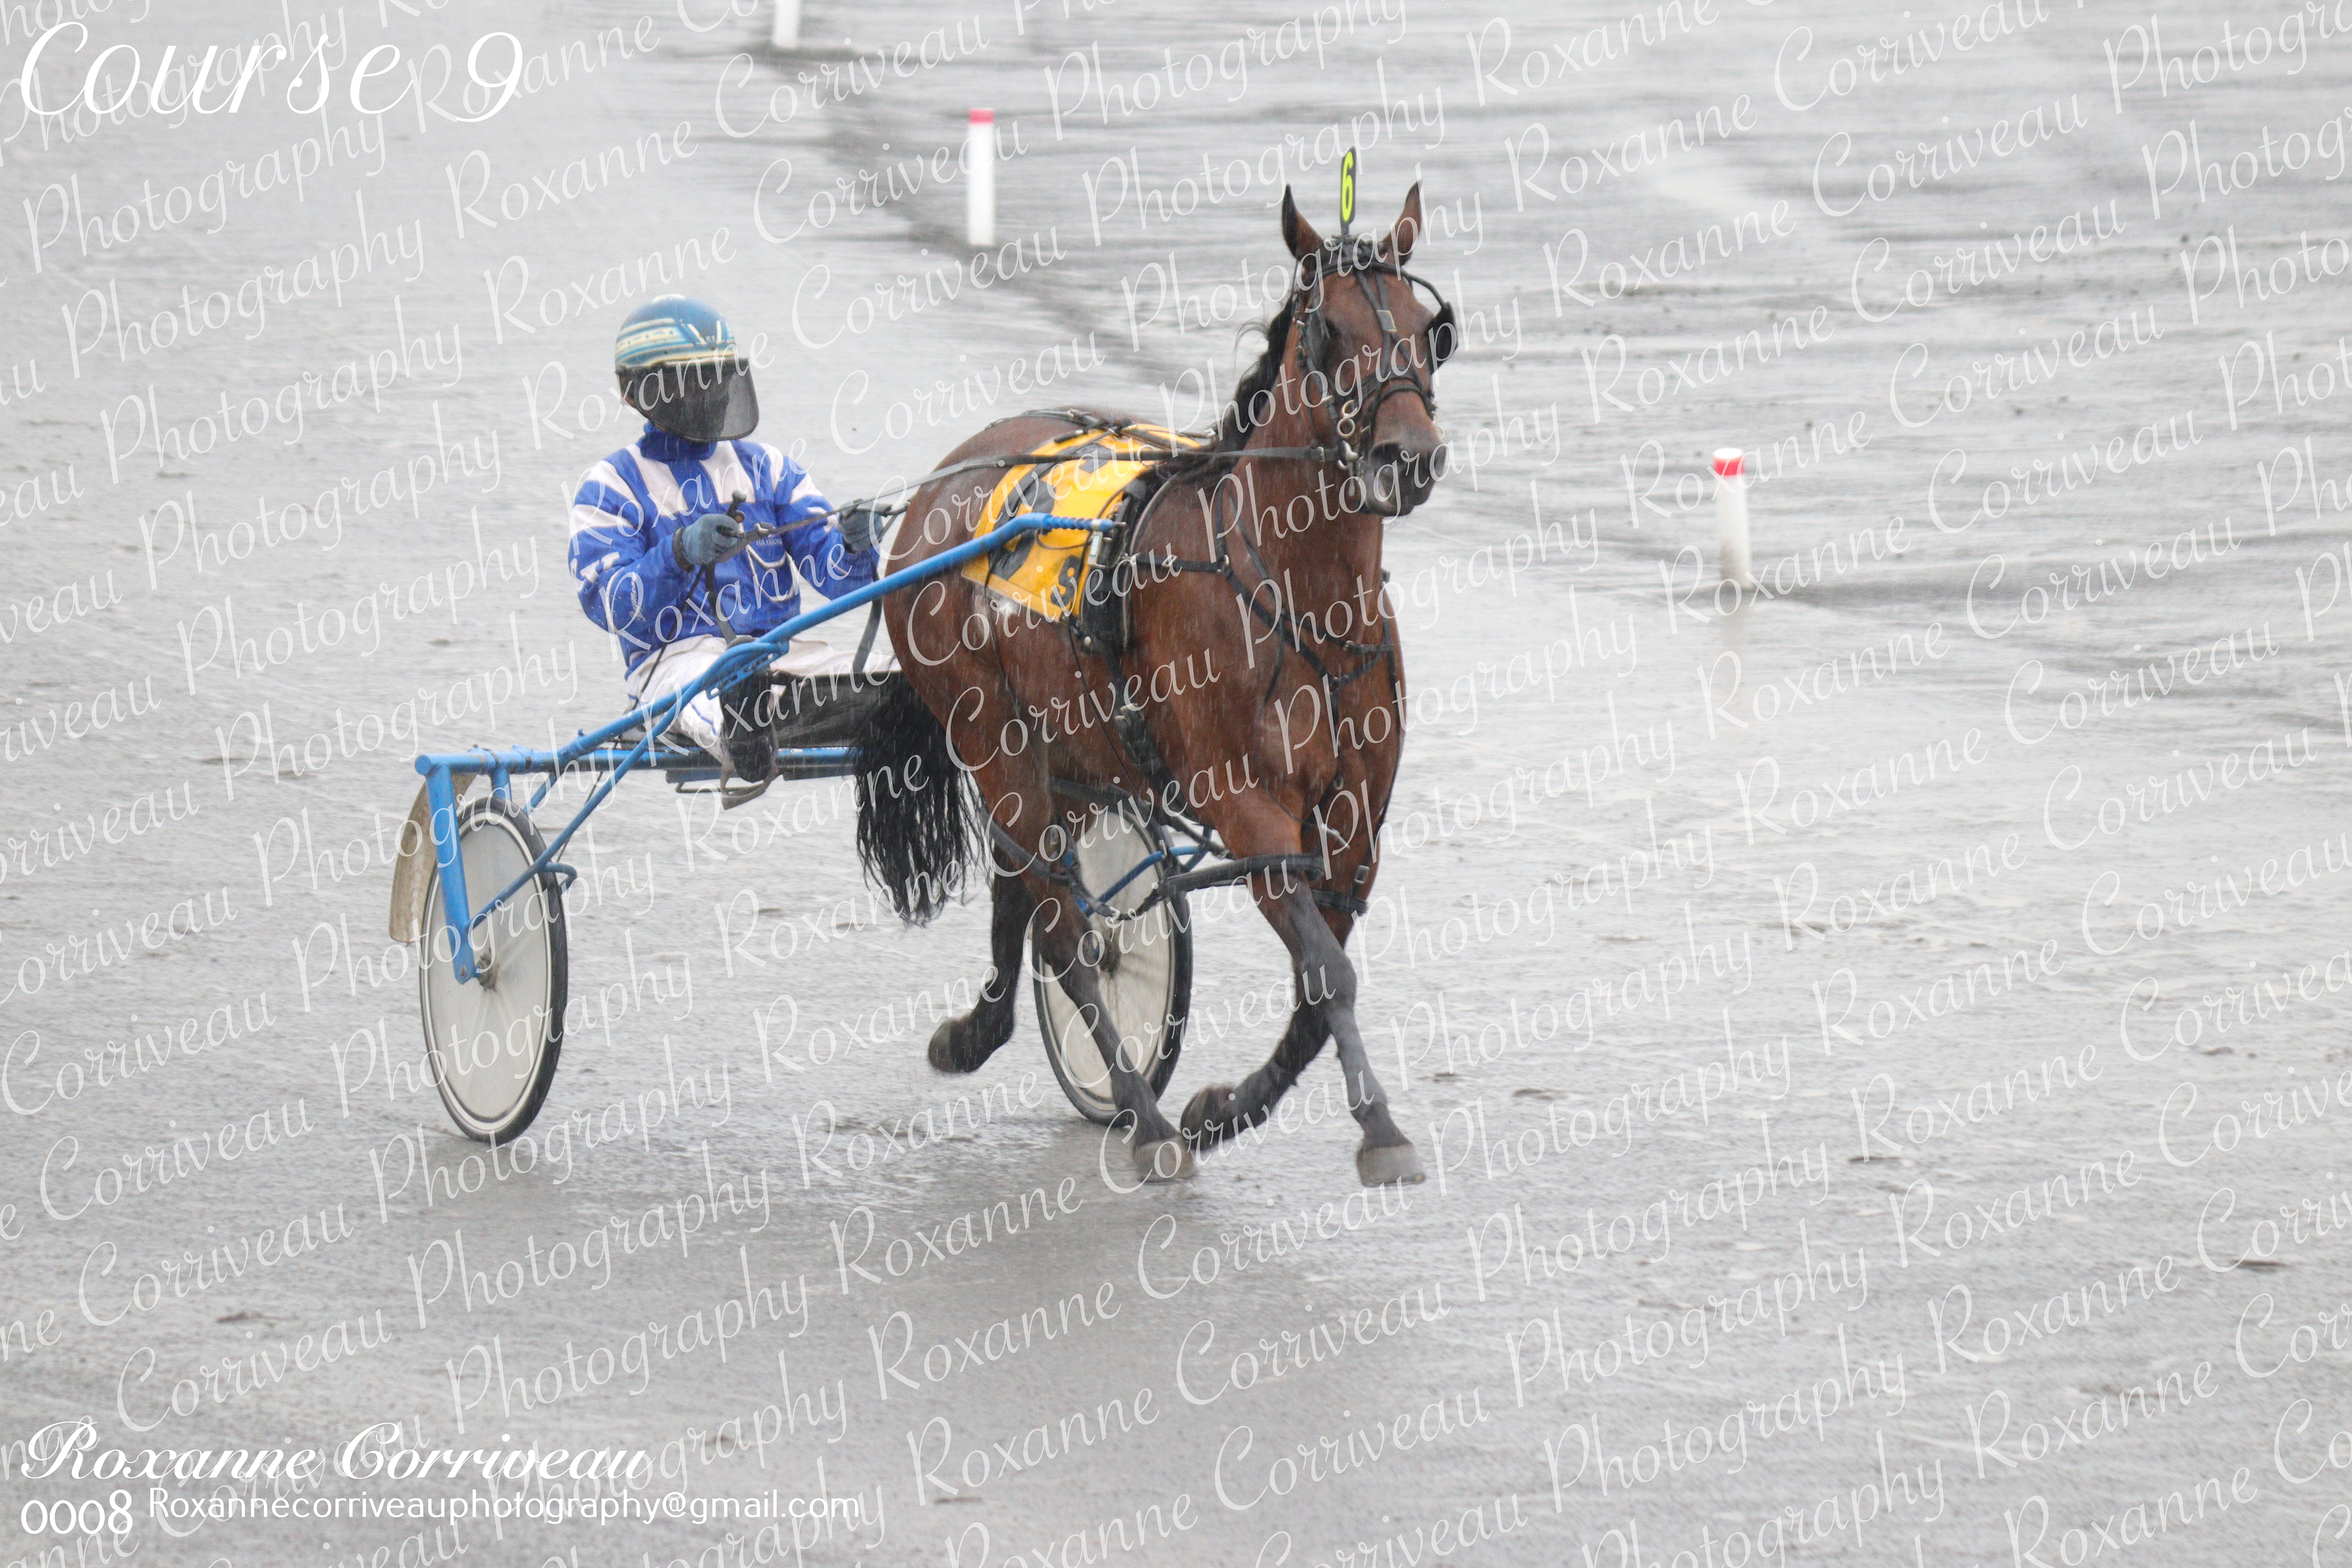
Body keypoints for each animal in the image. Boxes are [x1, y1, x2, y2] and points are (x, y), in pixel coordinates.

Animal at [854, 184, 1453, 1185]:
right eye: (1328, 332)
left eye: (1425, 327)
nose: (1407, 454)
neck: (1299, 603)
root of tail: (943, 487)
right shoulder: (1248, 807)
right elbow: (1327, 971)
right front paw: (1380, 1129)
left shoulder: (1357, 822)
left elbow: (1314, 986)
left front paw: (1225, 1106)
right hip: (989, 734)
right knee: (1064, 927)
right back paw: (1145, 1120)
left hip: (1064, 744)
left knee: (1028, 888)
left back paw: (983, 1033)